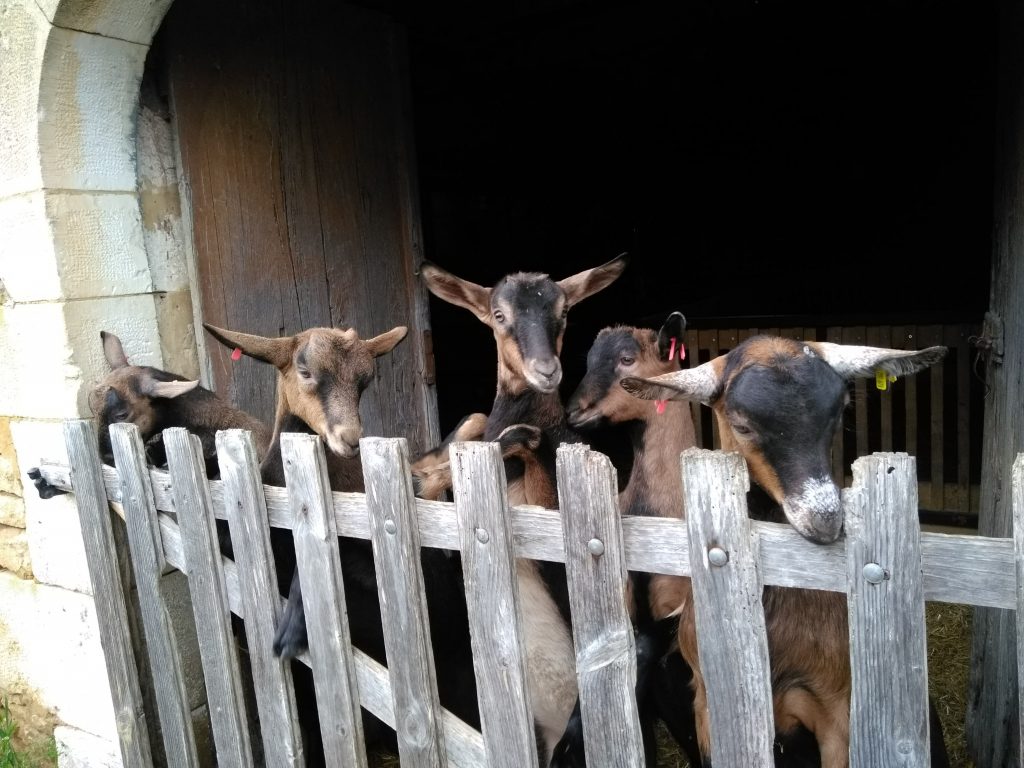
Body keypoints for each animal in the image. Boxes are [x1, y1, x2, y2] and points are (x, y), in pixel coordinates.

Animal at [420, 255, 627, 764]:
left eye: (564, 312)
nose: (546, 370)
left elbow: (521, 438)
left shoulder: (551, 508)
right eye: (499, 315)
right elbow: (475, 431)